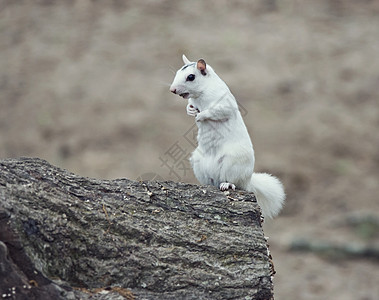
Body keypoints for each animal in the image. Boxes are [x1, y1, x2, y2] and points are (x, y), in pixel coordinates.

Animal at [170, 54, 284, 218]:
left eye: (191, 77)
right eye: (177, 72)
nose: (172, 89)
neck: (201, 94)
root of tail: (248, 181)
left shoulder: (224, 104)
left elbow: (215, 111)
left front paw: (200, 116)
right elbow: (190, 107)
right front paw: (191, 111)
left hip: (232, 163)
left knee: (232, 182)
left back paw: (226, 184)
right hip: (199, 164)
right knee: (212, 182)